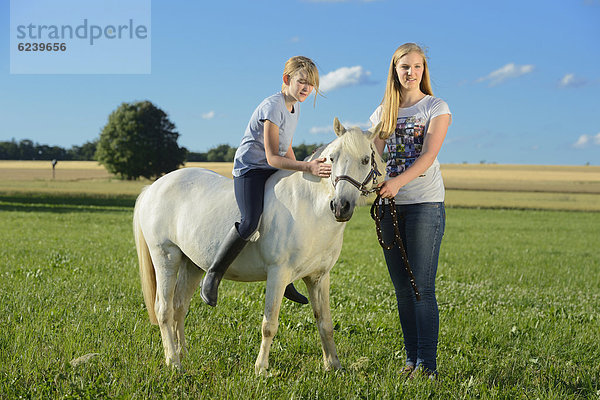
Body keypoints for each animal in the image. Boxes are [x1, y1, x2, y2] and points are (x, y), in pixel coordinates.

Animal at [134, 117, 382, 374]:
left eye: (365, 159)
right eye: (332, 158)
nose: (341, 206)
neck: (311, 208)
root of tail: (153, 188)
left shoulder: (319, 277)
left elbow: (325, 323)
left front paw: (333, 365)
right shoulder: (278, 274)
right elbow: (269, 324)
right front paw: (261, 368)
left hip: (191, 264)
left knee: (179, 307)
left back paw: (183, 354)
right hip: (166, 257)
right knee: (164, 309)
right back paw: (173, 361)